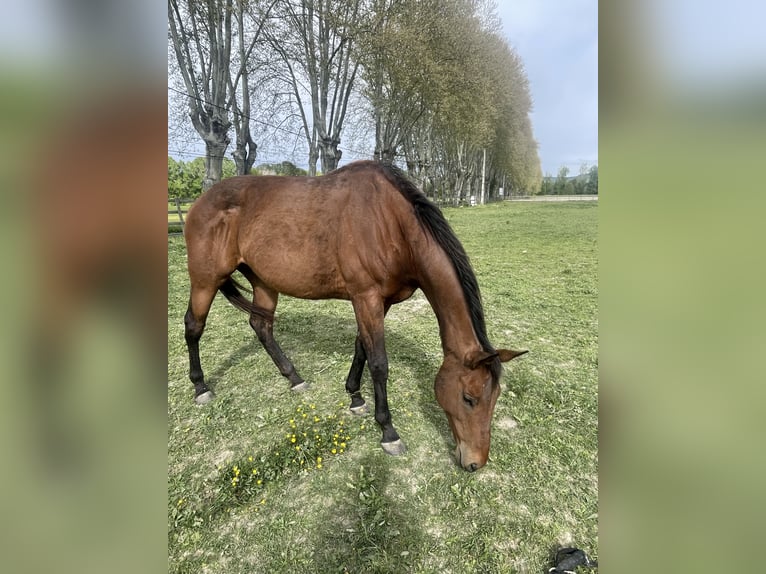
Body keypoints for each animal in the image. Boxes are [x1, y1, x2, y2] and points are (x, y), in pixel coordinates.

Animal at [183, 159, 524, 472]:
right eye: (469, 398)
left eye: (495, 397)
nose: (475, 462)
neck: (391, 222)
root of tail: (200, 202)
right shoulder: (366, 296)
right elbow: (379, 363)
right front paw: (388, 431)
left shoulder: (380, 302)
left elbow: (362, 346)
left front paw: (355, 397)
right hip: (205, 280)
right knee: (194, 326)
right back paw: (201, 388)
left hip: (264, 281)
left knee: (261, 325)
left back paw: (295, 379)